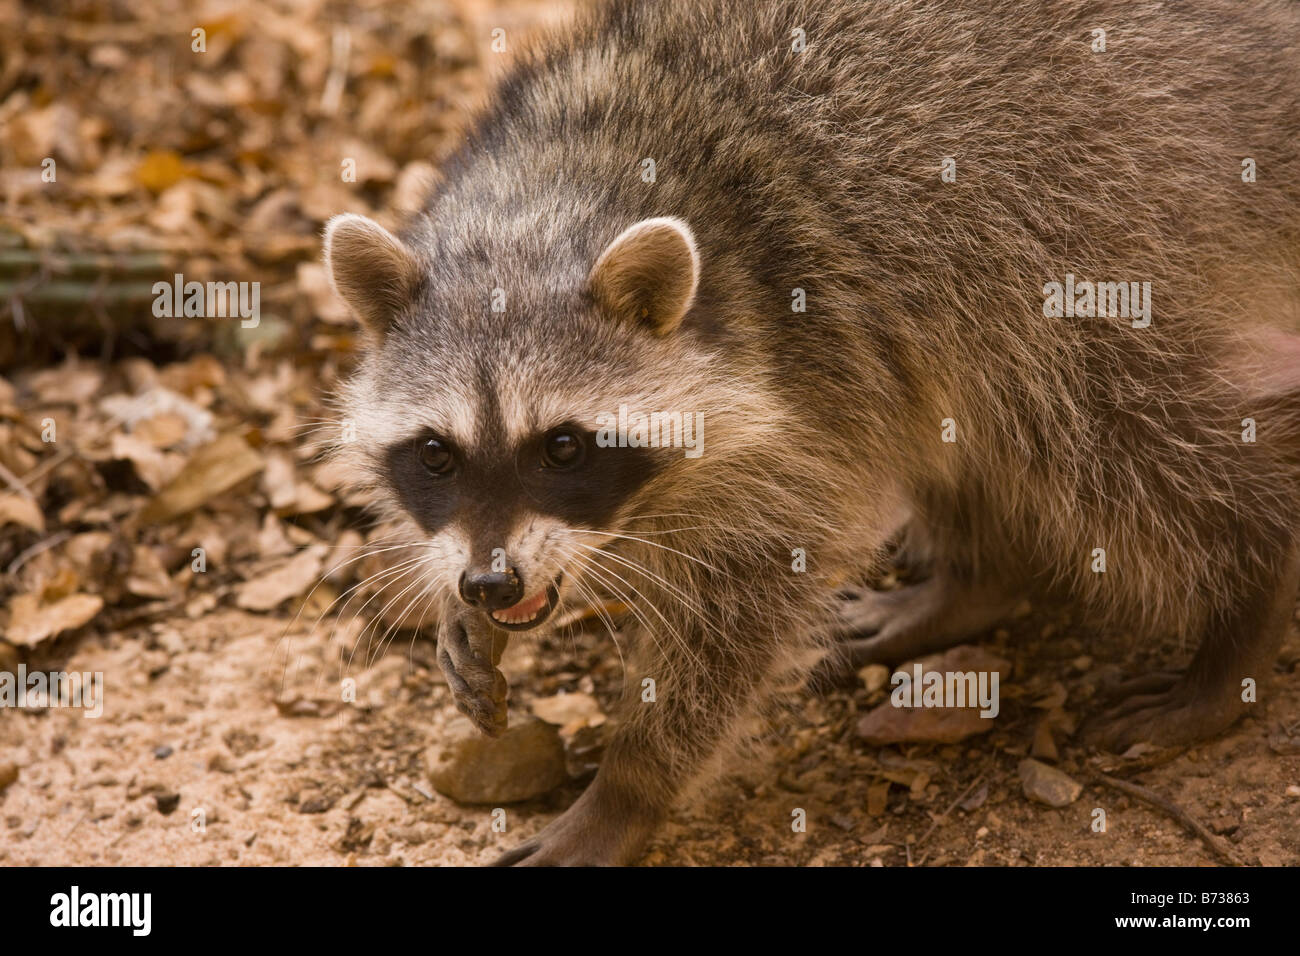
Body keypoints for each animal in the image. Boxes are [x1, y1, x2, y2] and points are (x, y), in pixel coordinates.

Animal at [322, 0, 1300, 868]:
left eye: (562, 447)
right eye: (437, 454)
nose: (491, 583)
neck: (542, 204)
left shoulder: (803, 350)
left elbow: (746, 599)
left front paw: (627, 790)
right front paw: (457, 609)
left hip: (1094, 219)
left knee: (1104, 424)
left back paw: (1245, 598)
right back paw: (978, 579)